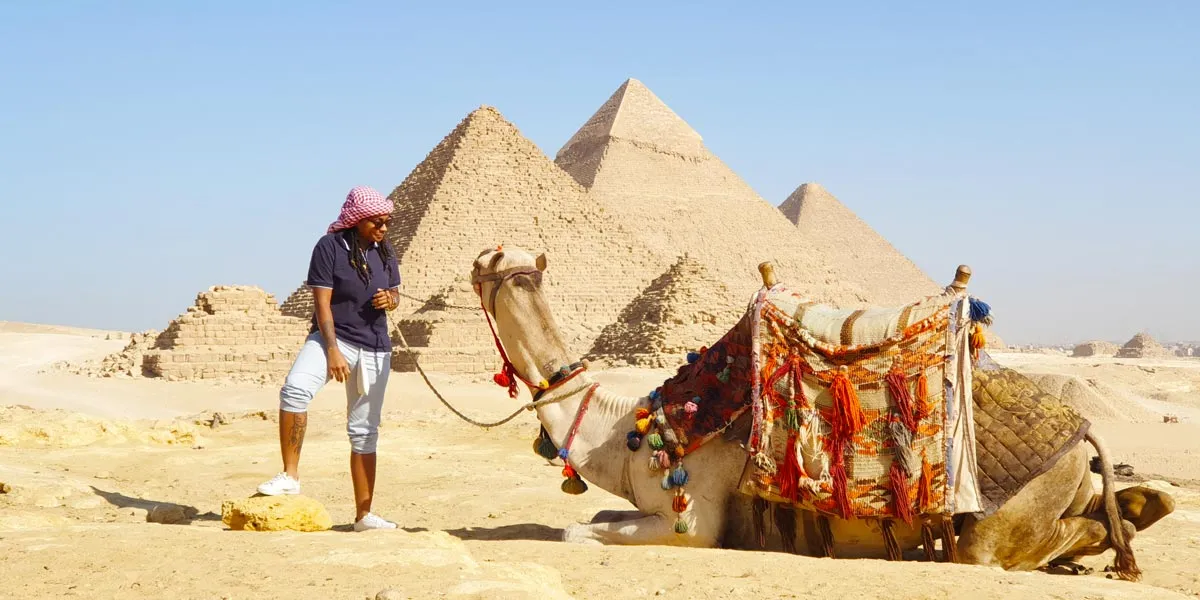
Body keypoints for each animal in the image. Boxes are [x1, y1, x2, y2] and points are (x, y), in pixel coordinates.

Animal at [469, 246, 1174, 581]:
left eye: (494, 266)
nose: (478, 261)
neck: (627, 427)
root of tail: (1083, 433)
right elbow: (592, 517)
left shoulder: (693, 521)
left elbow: (576, 531)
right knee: (1102, 515)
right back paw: (1142, 512)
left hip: (998, 524)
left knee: (1055, 536)